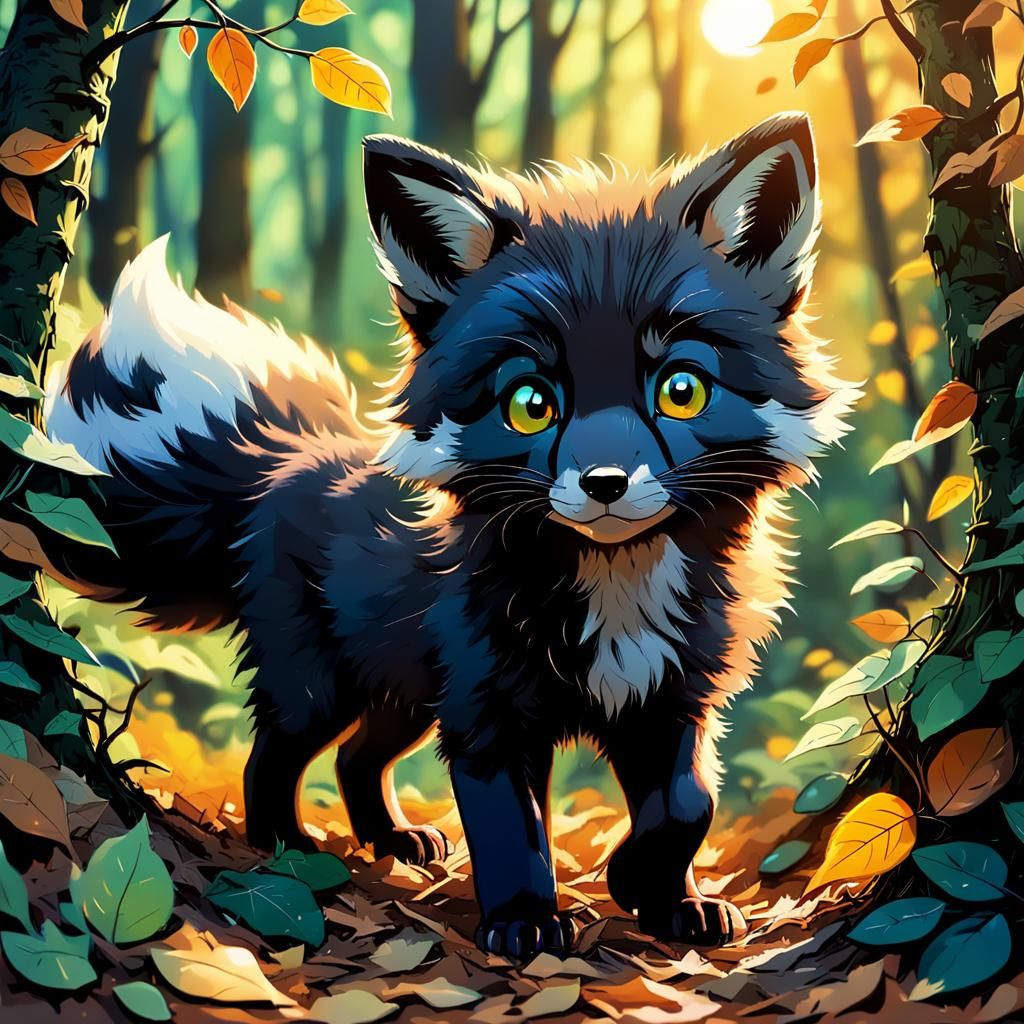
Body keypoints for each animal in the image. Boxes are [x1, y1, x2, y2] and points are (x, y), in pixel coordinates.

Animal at [39, 112, 854, 955]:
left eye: (682, 390)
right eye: (530, 402)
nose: (605, 484)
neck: (613, 588)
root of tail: (286, 459)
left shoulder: (671, 700)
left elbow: (690, 805)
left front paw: (665, 900)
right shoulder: (488, 716)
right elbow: (511, 829)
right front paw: (528, 920)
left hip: (401, 690)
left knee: (357, 758)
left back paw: (393, 840)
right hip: (321, 686)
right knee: (274, 757)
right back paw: (286, 853)